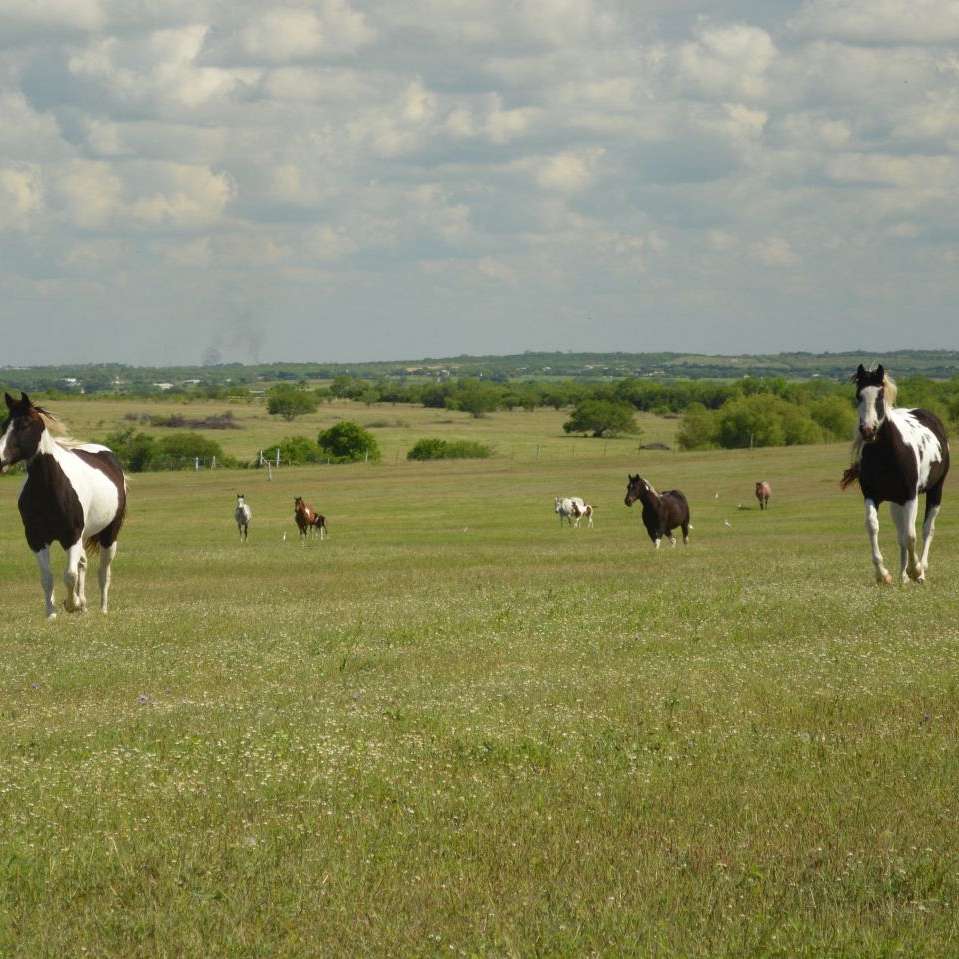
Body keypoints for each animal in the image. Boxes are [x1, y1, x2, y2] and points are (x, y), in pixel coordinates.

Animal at [0, 394, 127, 620]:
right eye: (5, 424)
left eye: (24, 425)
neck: (51, 487)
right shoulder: (36, 539)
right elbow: (47, 577)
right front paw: (52, 613)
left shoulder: (71, 536)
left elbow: (69, 574)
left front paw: (71, 604)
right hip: (84, 536)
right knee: (83, 563)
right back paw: (84, 605)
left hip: (109, 534)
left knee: (103, 571)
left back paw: (102, 608)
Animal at [844, 362, 948, 580]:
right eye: (858, 395)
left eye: (880, 395)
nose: (868, 430)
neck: (887, 454)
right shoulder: (872, 495)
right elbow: (873, 527)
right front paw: (883, 574)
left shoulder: (910, 496)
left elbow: (911, 535)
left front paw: (915, 569)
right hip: (896, 501)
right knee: (900, 534)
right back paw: (903, 577)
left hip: (935, 490)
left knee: (927, 530)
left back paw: (921, 570)